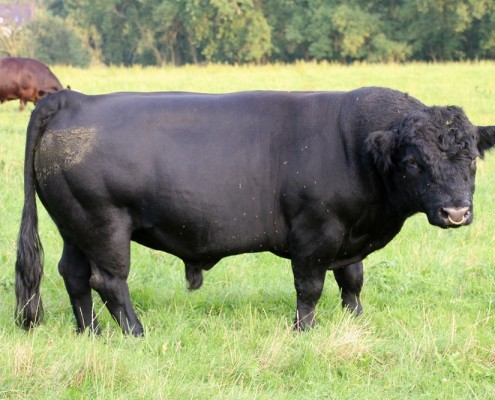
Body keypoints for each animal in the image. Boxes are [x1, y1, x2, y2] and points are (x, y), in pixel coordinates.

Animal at [14, 86, 495, 334]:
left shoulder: (349, 235)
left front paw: (356, 321)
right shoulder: (315, 232)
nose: (456, 212)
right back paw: (135, 333)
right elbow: (310, 287)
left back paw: (90, 332)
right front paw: (305, 331)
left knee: (74, 276)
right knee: (109, 282)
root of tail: (74, 99)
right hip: (105, 225)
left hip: (75, 226)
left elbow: (353, 280)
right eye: (413, 161)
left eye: (472, 158)